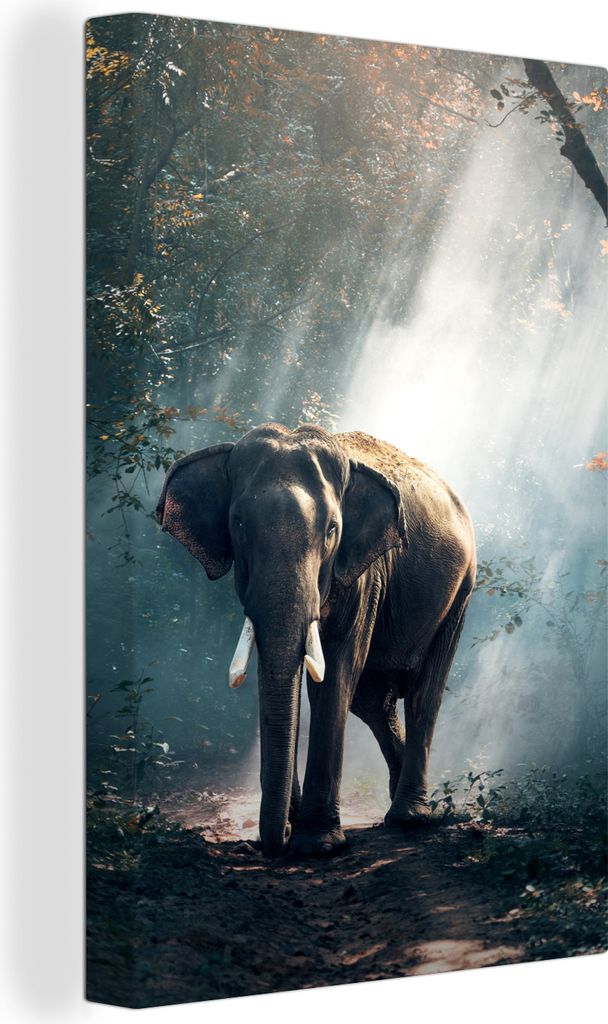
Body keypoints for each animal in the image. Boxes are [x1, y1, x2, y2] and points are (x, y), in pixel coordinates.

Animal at [156, 423, 476, 856]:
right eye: (237, 522)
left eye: (332, 530)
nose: (276, 839)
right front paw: (295, 828)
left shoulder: (364, 573)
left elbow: (336, 673)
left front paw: (318, 843)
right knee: (372, 701)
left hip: (460, 592)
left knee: (424, 693)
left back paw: (410, 818)